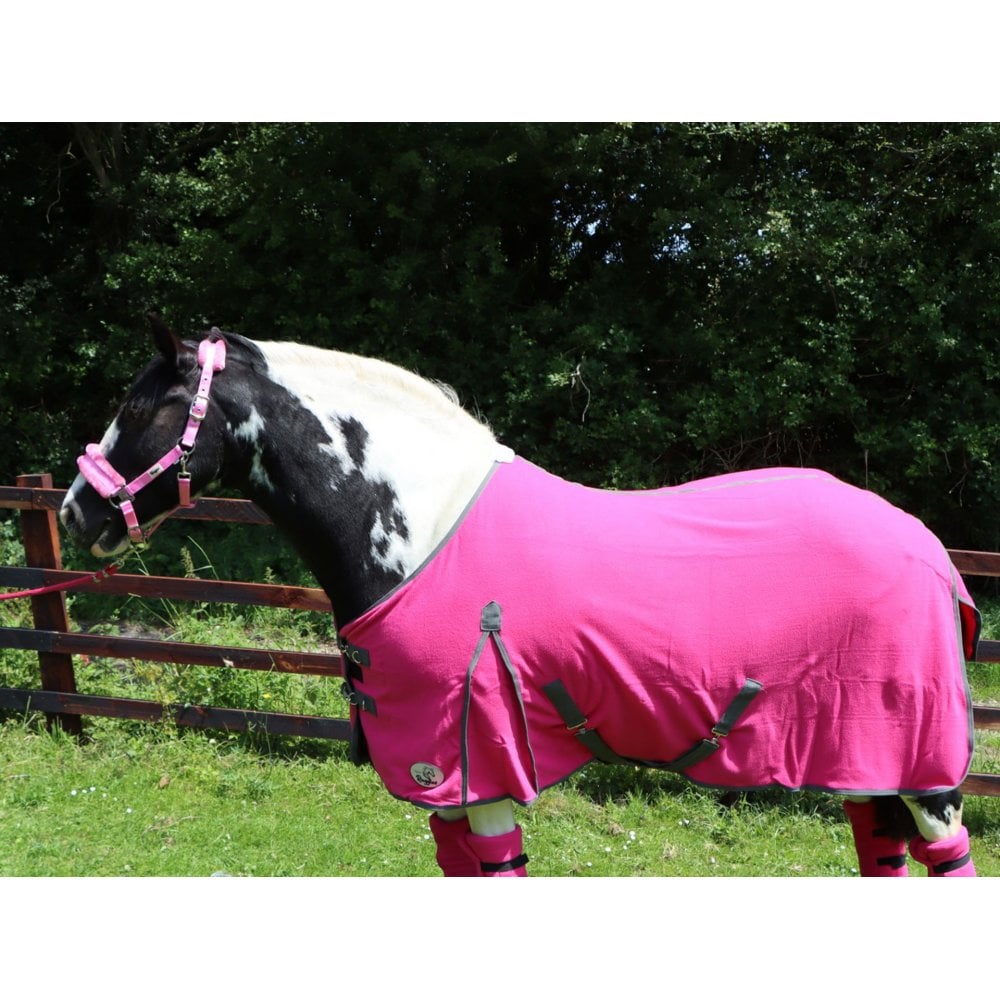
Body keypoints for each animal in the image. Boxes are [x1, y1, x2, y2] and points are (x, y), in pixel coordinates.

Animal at [60, 319, 981, 877]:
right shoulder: (441, 781)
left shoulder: (484, 768)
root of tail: (928, 545)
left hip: (921, 765)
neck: (424, 526)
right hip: (863, 759)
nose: (75, 511)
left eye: (142, 407)